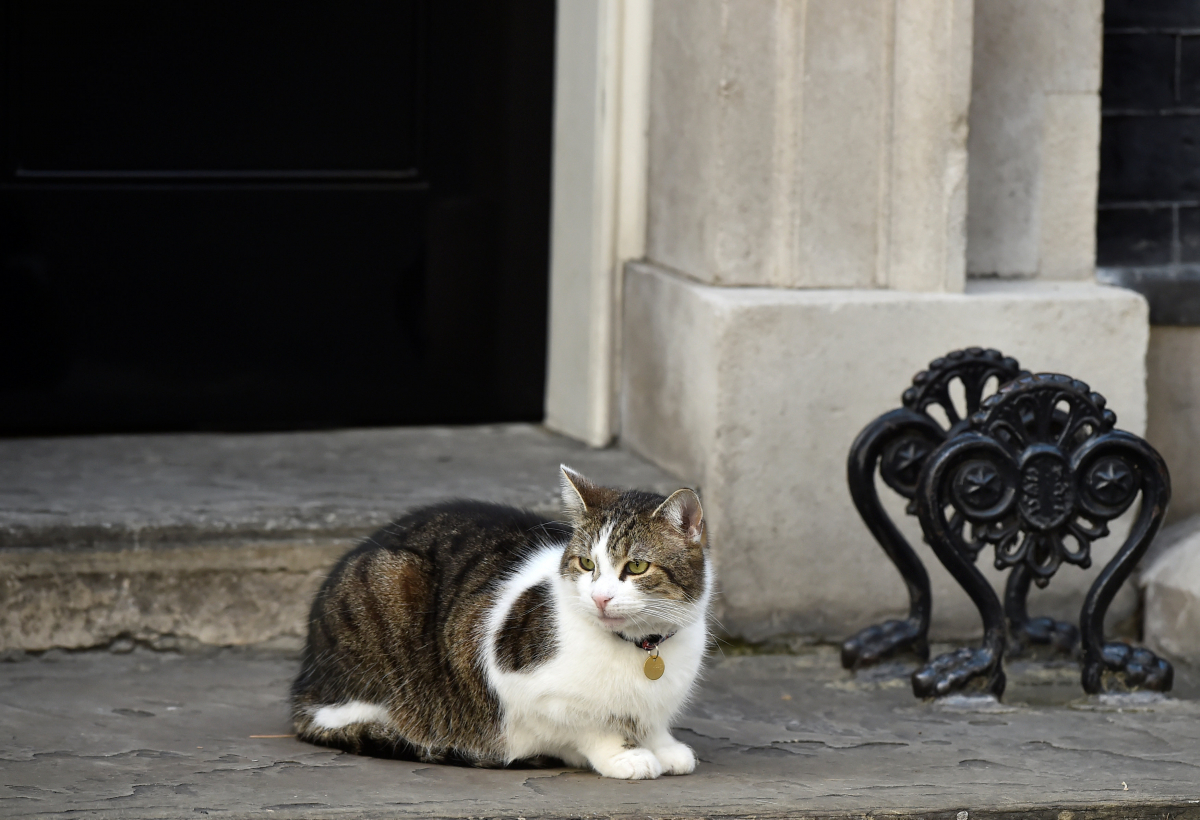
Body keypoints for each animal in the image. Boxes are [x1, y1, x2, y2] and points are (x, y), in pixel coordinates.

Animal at [292, 465, 710, 777]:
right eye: (586, 563)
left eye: (636, 566)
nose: (599, 597)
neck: (642, 646)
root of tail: (304, 683)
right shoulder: (526, 690)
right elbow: (589, 726)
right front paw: (624, 755)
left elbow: (652, 722)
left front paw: (663, 746)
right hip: (388, 592)